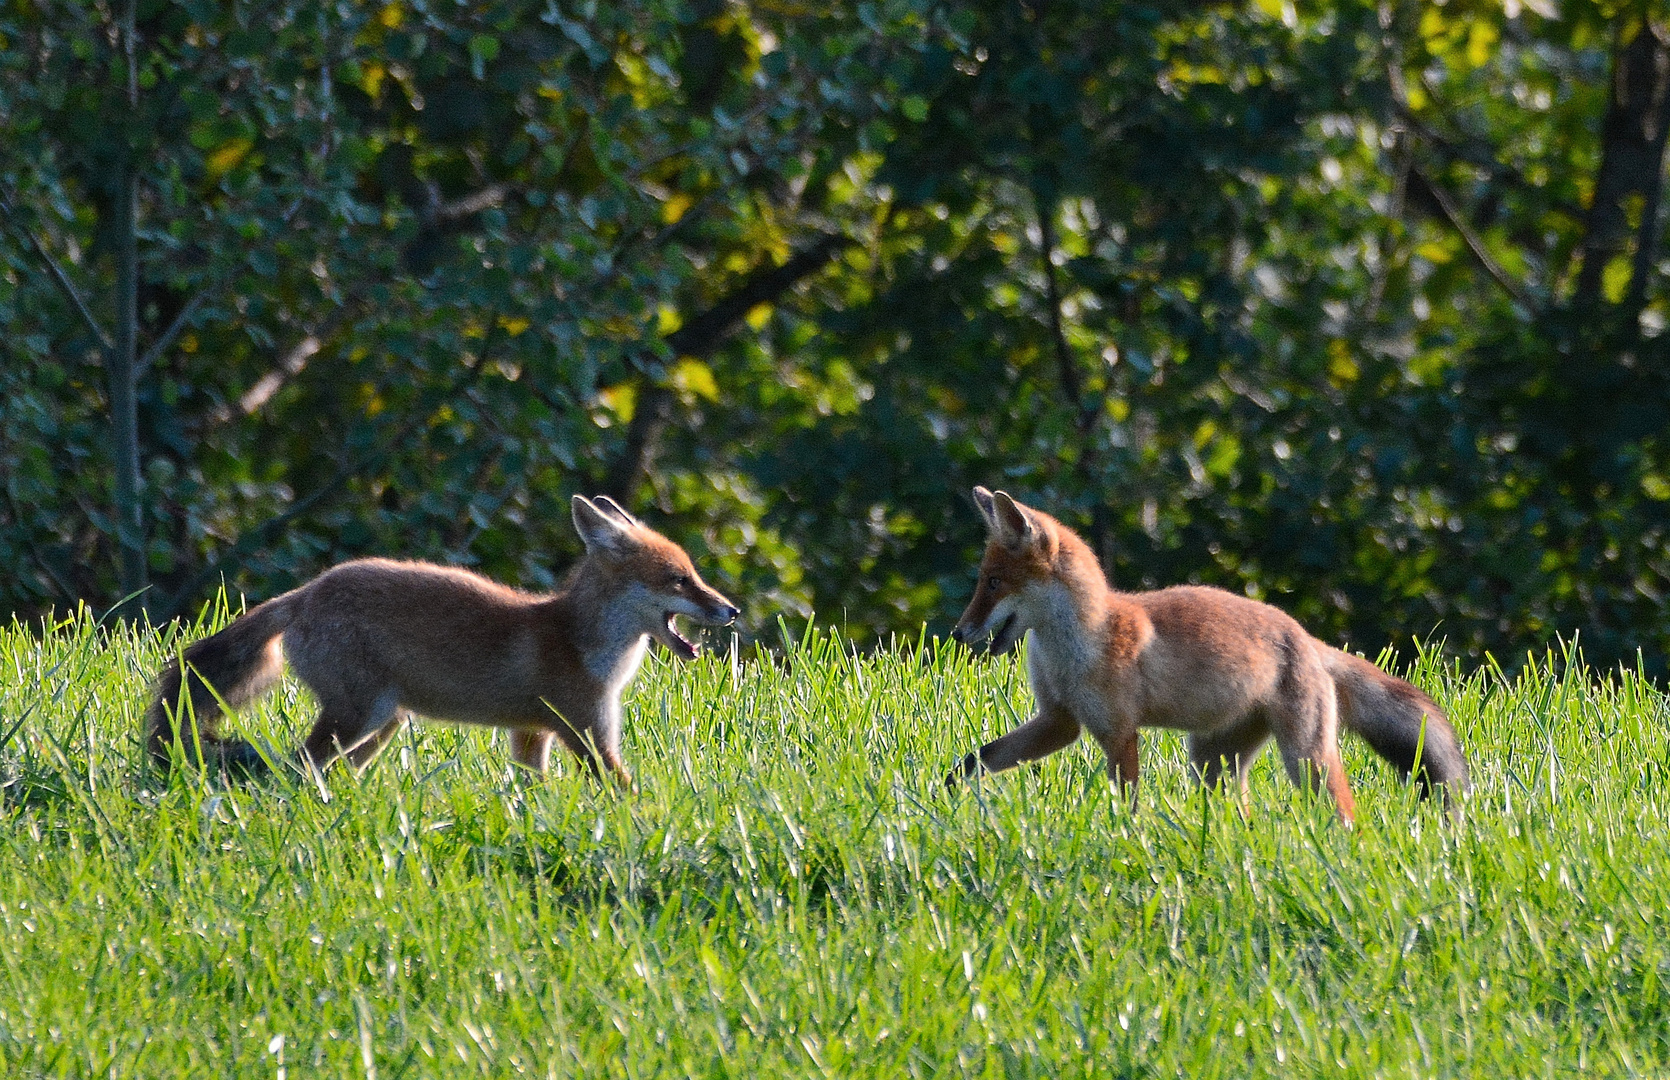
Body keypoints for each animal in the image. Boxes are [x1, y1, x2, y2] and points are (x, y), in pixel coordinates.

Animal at [145, 497, 738, 784]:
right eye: (679, 580)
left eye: (693, 575)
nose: (730, 611)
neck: (583, 645)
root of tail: (308, 591)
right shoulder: (588, 734)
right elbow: (627, 795)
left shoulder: (531, 735)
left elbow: (532, 792)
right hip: (360, 714)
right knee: (299, 764)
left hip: (384, 722)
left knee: (322, 768)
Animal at [948, 487, 1469, 824]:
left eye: (993, 583)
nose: (957, 632)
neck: (1074, 646)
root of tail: (1305, 637)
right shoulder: (1060, 720)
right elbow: (979, 758)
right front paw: (947, 790)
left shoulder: (1119, 731)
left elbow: (1126, 802)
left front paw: (1125, 839)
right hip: (1211, 764)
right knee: (1238, 813)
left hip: (1307, 759)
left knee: (1344, 811)